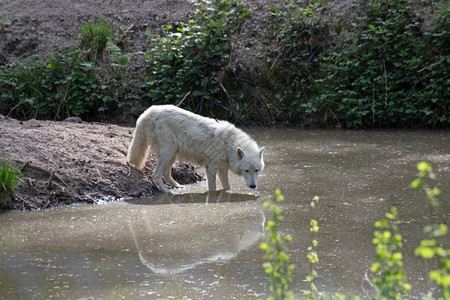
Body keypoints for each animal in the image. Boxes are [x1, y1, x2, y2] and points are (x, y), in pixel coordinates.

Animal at [126, 105, 266, 192]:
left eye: (256, 170)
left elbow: (227, 188)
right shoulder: (211, 169)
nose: (253, 186)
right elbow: (212, 189)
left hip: (173, 153)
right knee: (156, 175)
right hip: (168, 152)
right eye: (246, 170)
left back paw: (178, 187)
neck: (229, 145)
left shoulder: (222, 170)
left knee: (166, 173)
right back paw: (167, 192)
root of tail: (148, 112)